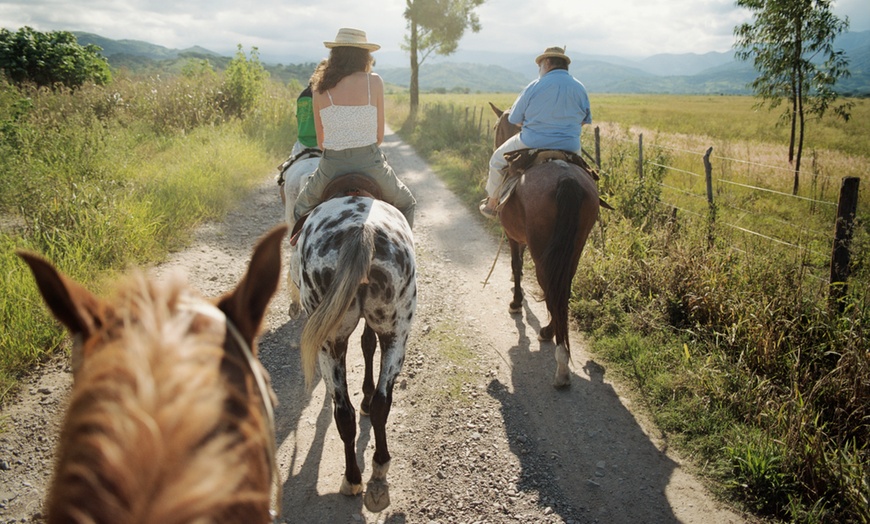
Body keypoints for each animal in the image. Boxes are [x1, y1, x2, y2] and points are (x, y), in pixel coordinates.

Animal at [294, 194, 418, 510]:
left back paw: (351, 479)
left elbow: (365, 344)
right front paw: (367, 396)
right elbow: (368, 345)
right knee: (381, 404)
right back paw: (379, 465)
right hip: (396, 334)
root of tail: (361, 232)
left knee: (343, 412)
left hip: (329, 344)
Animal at [488, 103, 604, 388]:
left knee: (551, 287)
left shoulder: (514, 236)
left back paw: (560, 363)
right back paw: (552, 333)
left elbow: (516, 265)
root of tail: (566, 179)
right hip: (573, 248)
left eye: (496, 127)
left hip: (543, 253)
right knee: (562, 287)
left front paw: (516, 302)